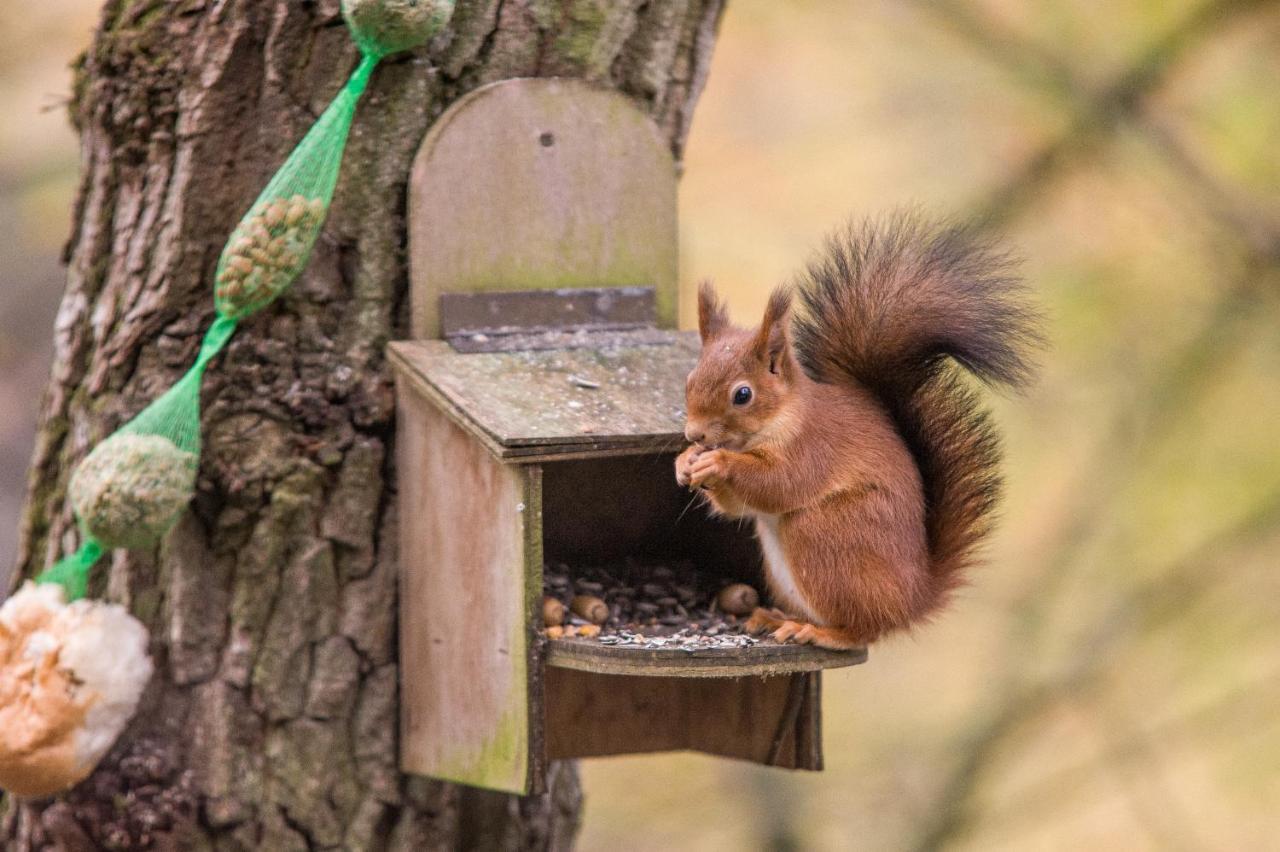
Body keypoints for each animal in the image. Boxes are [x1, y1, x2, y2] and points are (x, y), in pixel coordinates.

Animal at [680, 212, 1039, 644]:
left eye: (743, 394)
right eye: (689, 379)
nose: (695, 435)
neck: (779, 420)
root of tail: (910, 602)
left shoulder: (814, 446)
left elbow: (780, 483)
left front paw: (718, 462)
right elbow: (736, 506)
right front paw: (685, 462)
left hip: (828, 535)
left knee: (861, 630)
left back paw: (818, 632)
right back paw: (774, 617)